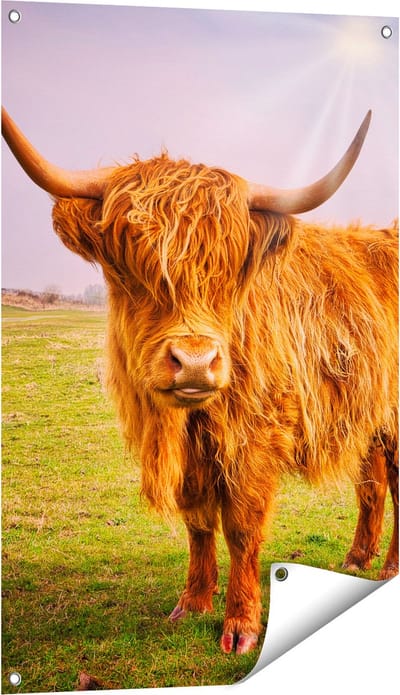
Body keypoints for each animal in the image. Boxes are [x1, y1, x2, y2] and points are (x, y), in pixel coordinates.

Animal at [2, 107, 398, 655]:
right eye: (129, 267)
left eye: (229, 272)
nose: (194, 362)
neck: (189, 422)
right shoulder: (192, 454)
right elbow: (197, 520)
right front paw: (192, 603)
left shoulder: (254, 439)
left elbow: (242, 526)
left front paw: (241, 624)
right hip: (370, 415)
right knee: (373, 484)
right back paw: (358, 559)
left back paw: (389, 569)